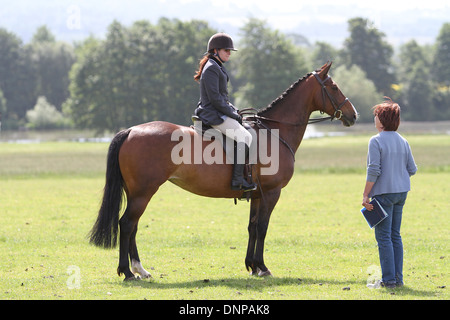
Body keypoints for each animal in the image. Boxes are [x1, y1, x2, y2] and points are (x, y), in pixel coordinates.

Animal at [89, 62, 358, 280]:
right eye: (334, 87)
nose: (353, 115)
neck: (275, 132)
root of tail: (131, 131)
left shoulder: (257, 194)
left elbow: (252, 227)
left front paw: (252, 266)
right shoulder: (272, 192)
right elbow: (263, 228)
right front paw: (263, 267)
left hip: (137, 192)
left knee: (132, 226)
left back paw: (140, 270)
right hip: (144, 192)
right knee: (127, 224)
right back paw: (128, 272)